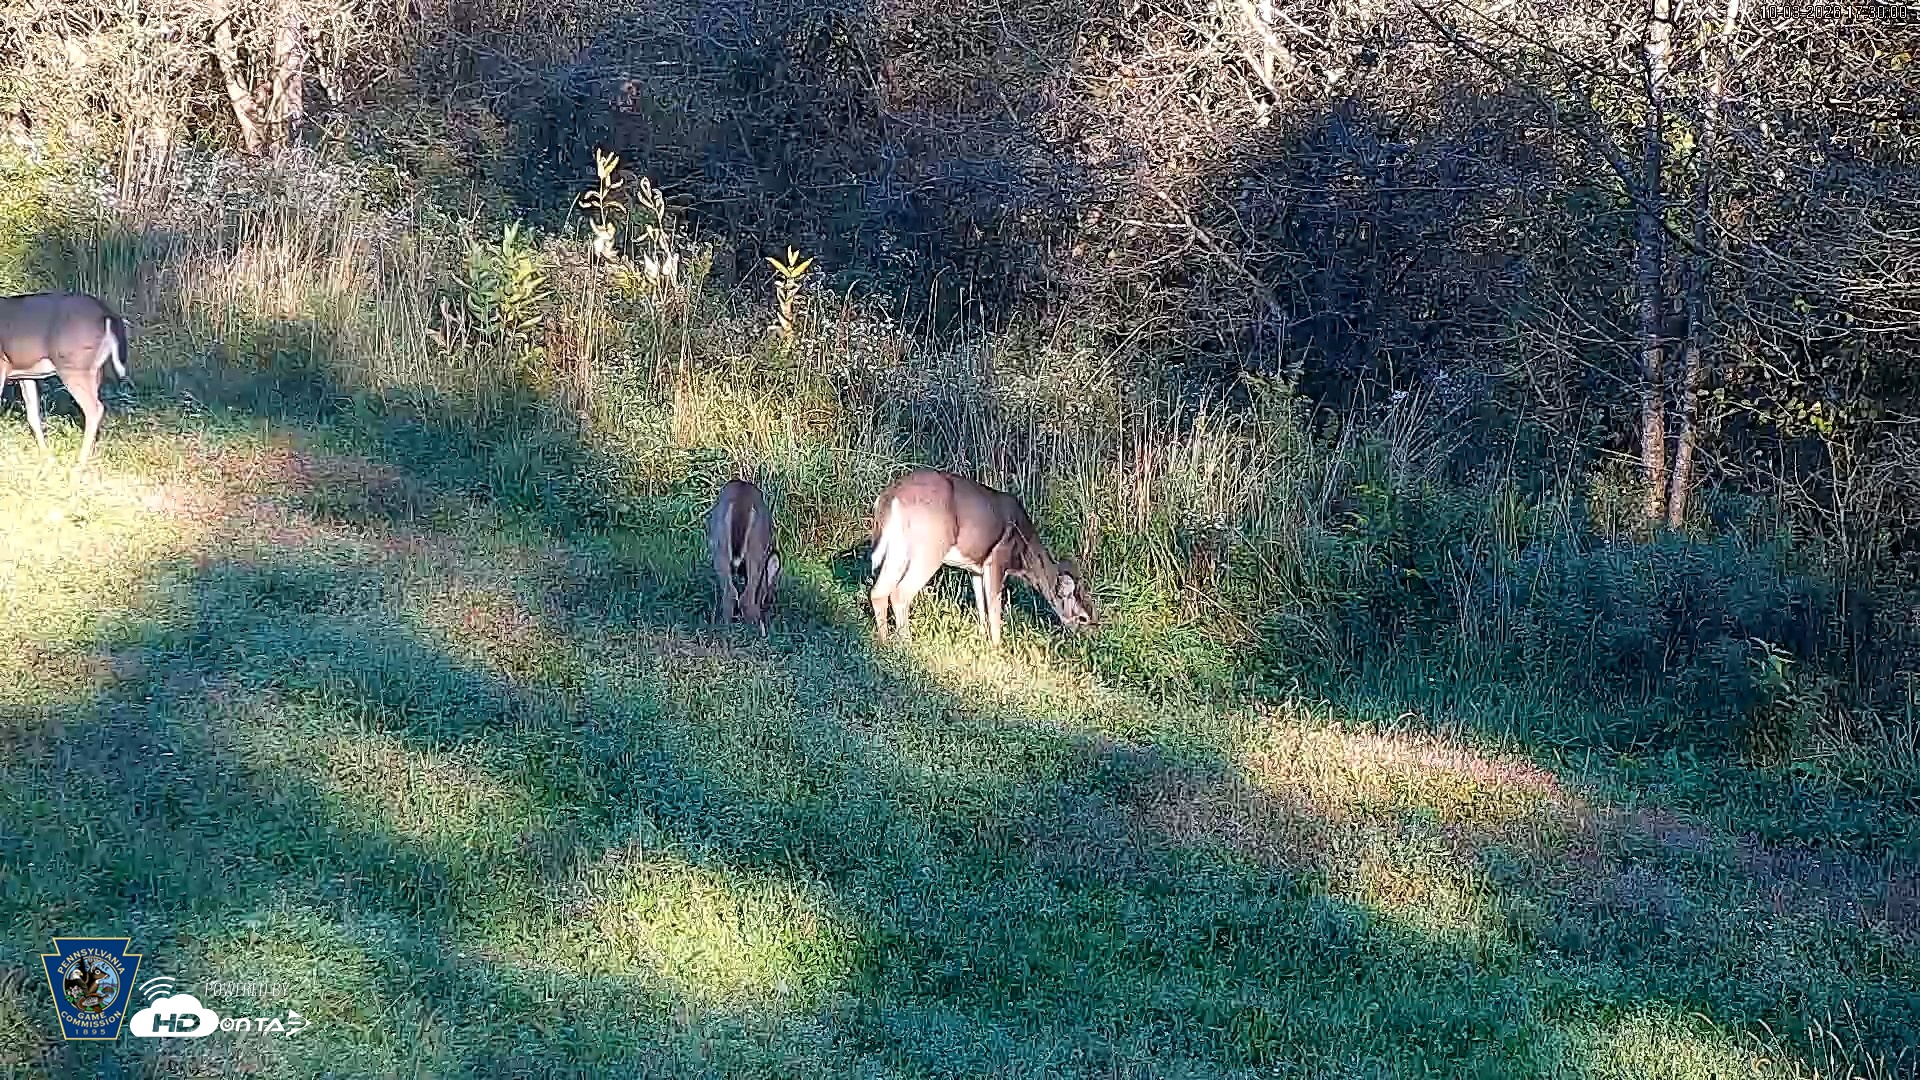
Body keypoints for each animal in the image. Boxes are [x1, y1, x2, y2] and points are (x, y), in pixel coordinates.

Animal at [0, 291, 131, 472]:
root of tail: (106, 313)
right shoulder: (24, 373)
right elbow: (33, 416)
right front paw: (47, 458)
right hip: (93, 369)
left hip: (73, 365)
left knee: (94, 409)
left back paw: (79, 464)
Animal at [707, 478, 781, 636]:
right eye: (769, 597)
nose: (768, 606)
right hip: (755, 550)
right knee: (745, 599)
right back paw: (757, 633)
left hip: (719, 548)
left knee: (729, 594)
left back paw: (725, 629)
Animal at [868, 468, 1095, 645]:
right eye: (1083, 618)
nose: (1089, 635)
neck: (1024, 553)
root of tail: (891, 497)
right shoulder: (997, 561)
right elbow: (994, 610)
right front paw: (997, 647)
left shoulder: (975, 568)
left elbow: (981, 605)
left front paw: (983, 636)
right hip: (930, 547)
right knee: (899, 592)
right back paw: (906, 643)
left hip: (899, 547)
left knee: (878, 591)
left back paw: (884, 642)